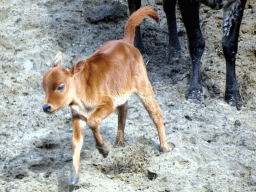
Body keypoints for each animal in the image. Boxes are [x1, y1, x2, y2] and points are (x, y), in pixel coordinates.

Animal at [43, 6, 169, 185]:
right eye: (43, 86)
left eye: (60, 86)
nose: (46, 107)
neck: (82, 89)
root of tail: (125, 42)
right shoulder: (77, 115)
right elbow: (76, 142)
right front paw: (73, 178)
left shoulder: (107, 103)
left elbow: (93, 121)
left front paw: (103, 150)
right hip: (122, 90)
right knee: (124, 109)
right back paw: (119, 141)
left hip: (143, 85)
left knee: (155, 113)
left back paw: (164, 147)